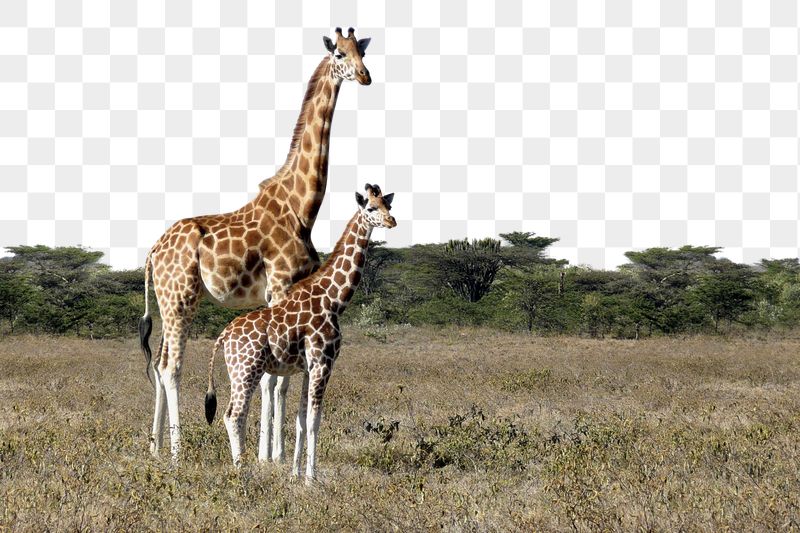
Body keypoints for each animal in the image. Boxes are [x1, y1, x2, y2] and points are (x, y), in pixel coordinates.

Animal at [139, 28, 372, 460]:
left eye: (362, 52)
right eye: (339, 54)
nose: (365, 76)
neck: (302, 207)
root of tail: (152, 254)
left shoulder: (285, 293)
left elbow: (276, 378)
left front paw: (270, 454)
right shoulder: (279, 285)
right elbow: (273, 379)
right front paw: (272, 456)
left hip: (166, 300)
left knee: (160, 364)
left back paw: (155, 448)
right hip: (181, 297)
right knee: (170, 367)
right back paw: (178, 452)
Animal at [205, 184, 396, 482]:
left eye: (389, 205)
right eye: (371, 208)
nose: (391, 221)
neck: (334, 299)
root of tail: (224, 336)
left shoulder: (308, 368)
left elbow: (301, 421)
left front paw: (295, 473)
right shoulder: (323, 362)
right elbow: (315, 421)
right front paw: (311, 478)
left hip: (240, 371)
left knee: (233, 414)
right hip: (246, 369)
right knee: (234, 415)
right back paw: (242, 470)